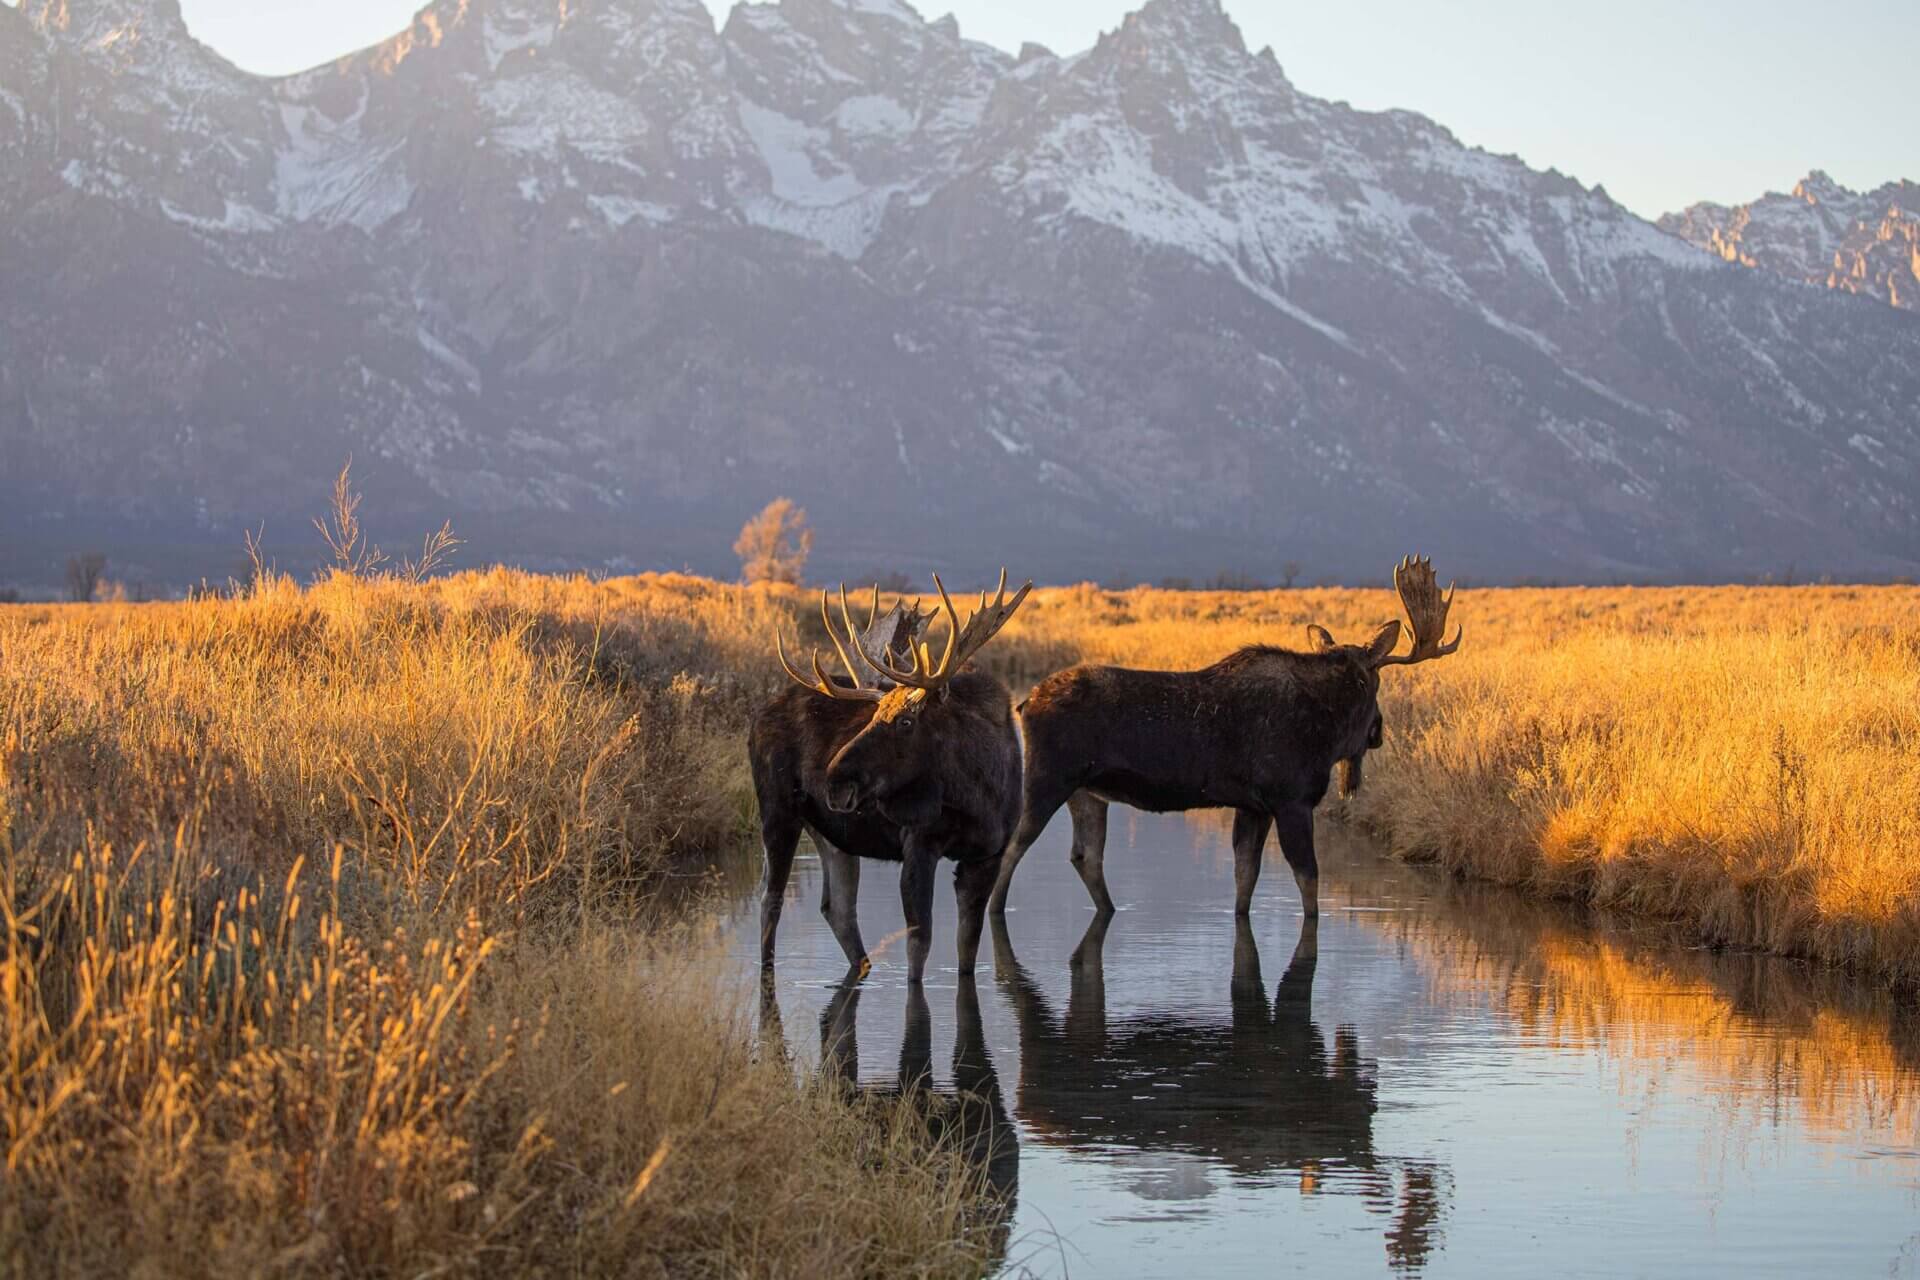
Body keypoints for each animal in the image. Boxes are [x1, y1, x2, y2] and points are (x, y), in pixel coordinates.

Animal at [749, 572, 1032, 985]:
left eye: (906, 721)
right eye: (872, 714)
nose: (834, 779)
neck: (979, 798)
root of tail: (757, 715)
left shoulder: (987, 855)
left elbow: (968, 949)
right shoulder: (919, 844)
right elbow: (919, 946)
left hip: (833, 835)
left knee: (837, 908)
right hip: (777, 811)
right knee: (771, 901)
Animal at [988, 555, 1462, 920]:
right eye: (1374, 681)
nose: (1378, 731)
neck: (1327, 729)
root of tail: (1025, 702)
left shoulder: (1252, 807)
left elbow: (1244, 884)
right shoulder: (1291, 800)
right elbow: (1309, 884)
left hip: (1088, 791)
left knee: (1086, 855)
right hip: (1048, 779)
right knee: (1010, 849)